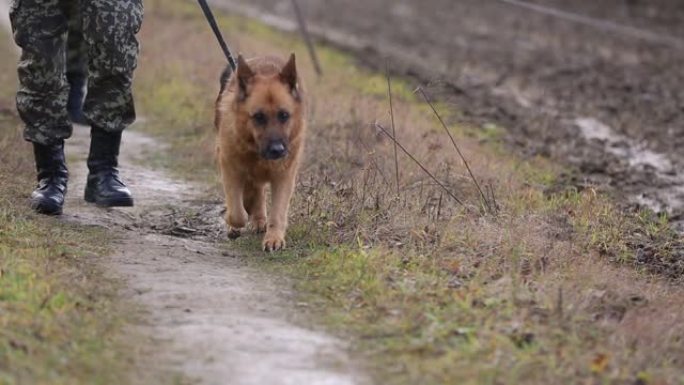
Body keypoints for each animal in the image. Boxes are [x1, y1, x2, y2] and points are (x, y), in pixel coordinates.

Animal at [214, 54, 304, 252]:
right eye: (258, 117)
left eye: (284, 115)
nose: (277, 150)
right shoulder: (230, 167)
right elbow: (237, 213)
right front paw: (234, 219)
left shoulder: (284, 177)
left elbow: (278, 212)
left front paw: (274, 238)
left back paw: (259, 219)